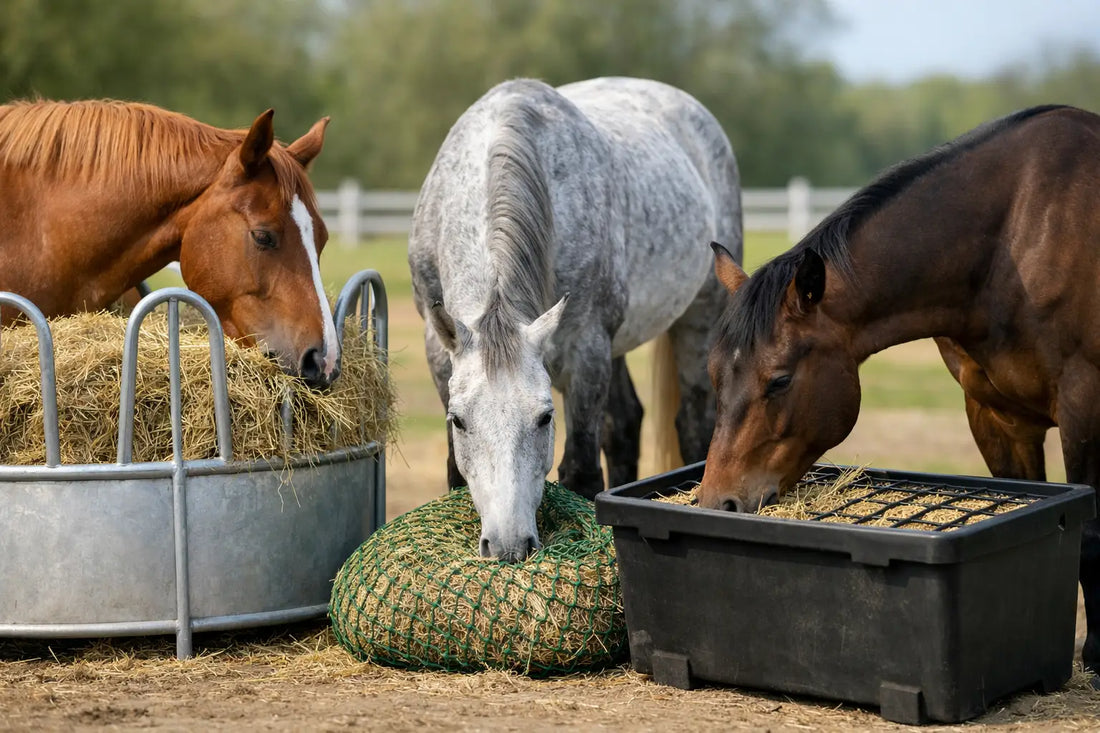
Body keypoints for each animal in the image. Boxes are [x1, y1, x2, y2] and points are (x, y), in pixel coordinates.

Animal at [409, 77, 742, 562]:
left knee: (694, 427)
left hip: (698, 319)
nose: (509, 546)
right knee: (625, 426)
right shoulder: (439, 358)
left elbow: (581, 471)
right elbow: (455, 470)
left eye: (545, 418)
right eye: (459, 421)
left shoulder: (586, 352)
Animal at [700, 104, 1100, 678]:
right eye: (713, 374)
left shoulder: (1083, 406)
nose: (718, 501)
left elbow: (1091, 538)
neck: (1014, 242)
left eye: (779, 379)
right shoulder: (995, 416)